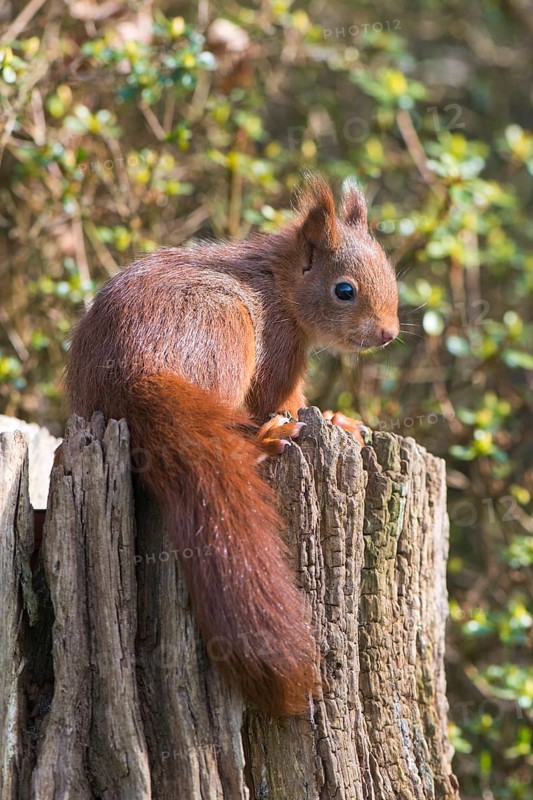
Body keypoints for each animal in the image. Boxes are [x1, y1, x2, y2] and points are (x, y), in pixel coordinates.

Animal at [66, 175, 400, 717]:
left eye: (389, 272)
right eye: (344, 290)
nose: (388, 334)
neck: (278, 281)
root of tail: (134, 377)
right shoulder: (279, 345)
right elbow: (282, 399)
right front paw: (331, 417)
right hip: (225, 329)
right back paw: (265, 440)